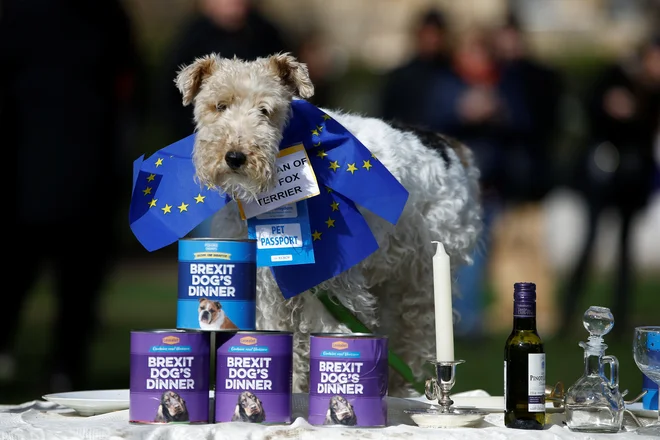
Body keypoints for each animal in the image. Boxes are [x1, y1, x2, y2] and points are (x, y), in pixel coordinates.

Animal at [175, 52, 482, 398]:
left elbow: (328, 333)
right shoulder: (267, 288)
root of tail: (451, 145)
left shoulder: (333, 288)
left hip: (419, 281)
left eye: (265, 109)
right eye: (220, 105)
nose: (235, 157)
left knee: (416, 339)